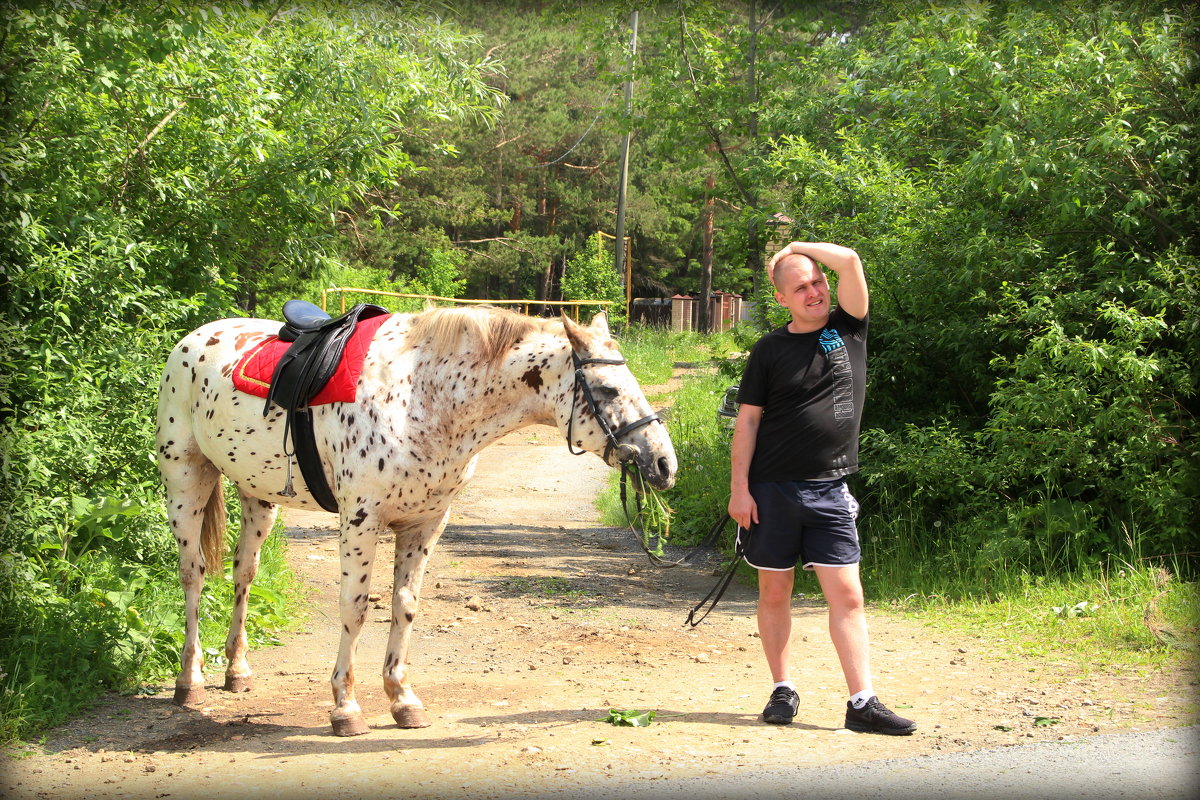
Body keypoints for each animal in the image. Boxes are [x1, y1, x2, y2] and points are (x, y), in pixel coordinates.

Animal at [153, 304, 676, 738]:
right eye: (607, 389)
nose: (664, 464)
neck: (422, 398)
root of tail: (191, 341)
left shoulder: (426, 523)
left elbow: (404, 606)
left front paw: (402, 699)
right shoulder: (360, 520)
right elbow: (355, 608)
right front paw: (345, 707)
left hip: (257, 496)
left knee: (244, 571)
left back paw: (236, 671)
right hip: (186, 481)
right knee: (193, 575)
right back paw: (190, 680)